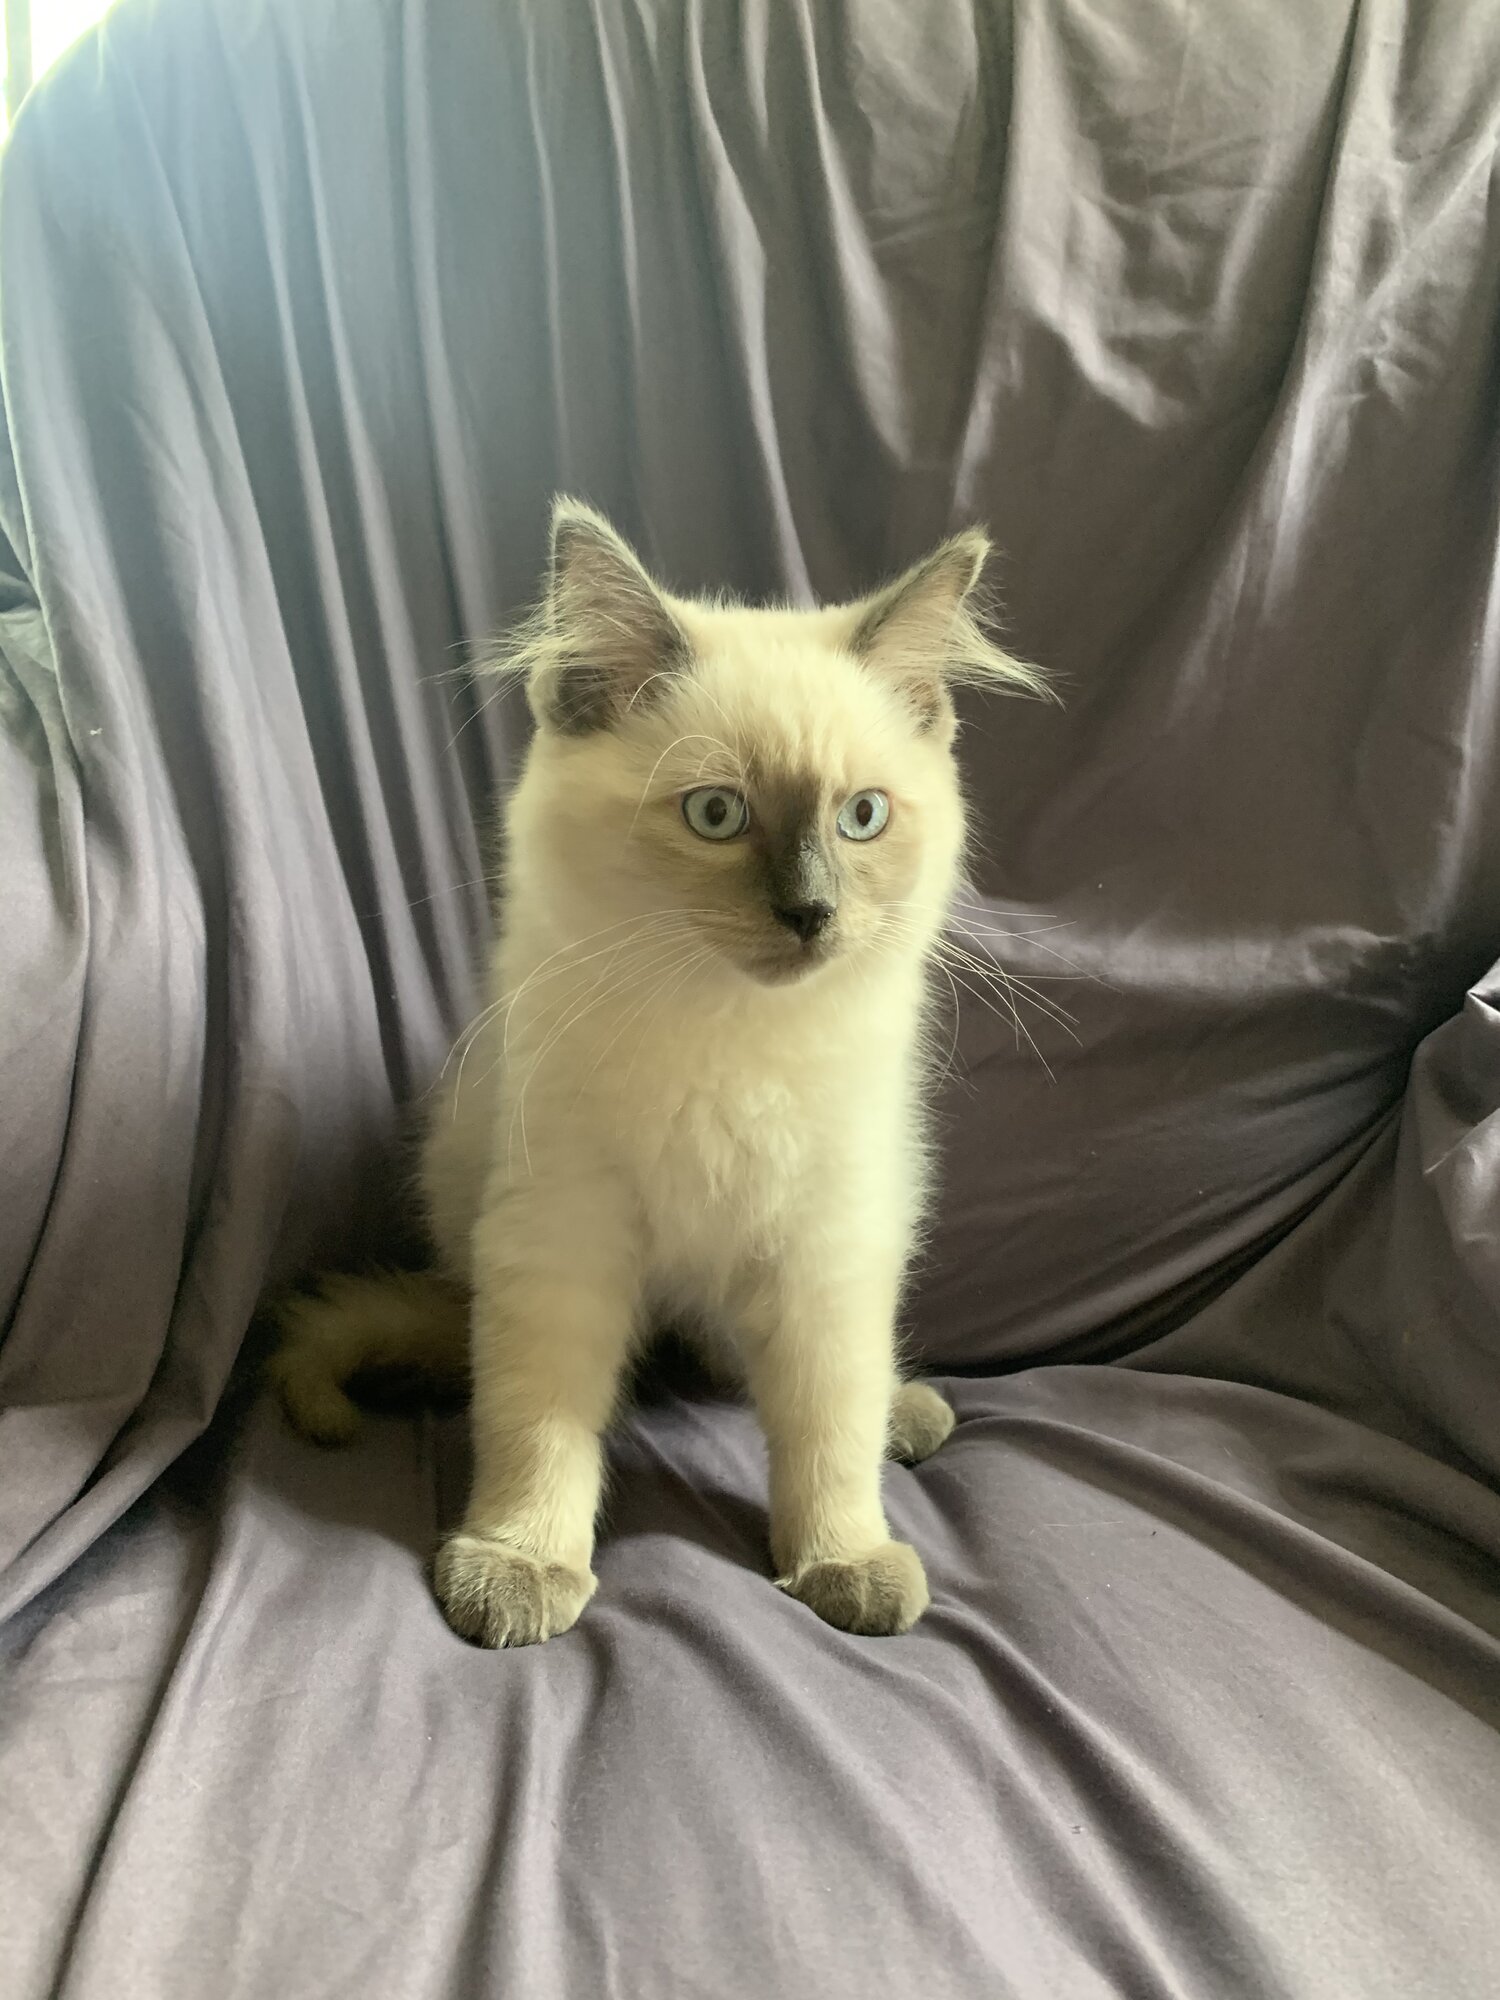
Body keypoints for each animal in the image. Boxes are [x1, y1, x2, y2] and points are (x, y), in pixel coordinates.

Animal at [274, 500, 1048, 1640]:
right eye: (717, 815)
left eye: (860, 818)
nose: (811, 913)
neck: (729, 1032)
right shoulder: (564, 1233)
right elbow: (539, 1425)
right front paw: (520, 1567)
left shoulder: (826, 1242)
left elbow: (825, 1425)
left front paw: (842, 1560)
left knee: (786, 1368)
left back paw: (904, 1412)